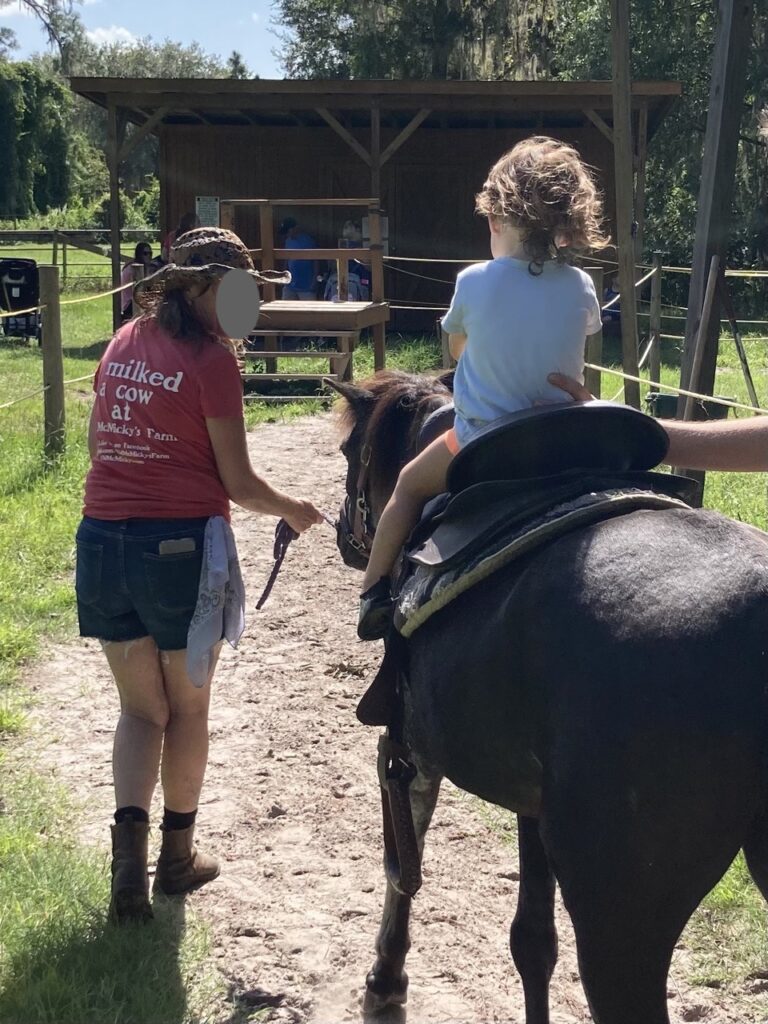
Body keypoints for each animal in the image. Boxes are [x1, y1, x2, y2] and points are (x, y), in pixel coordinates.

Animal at [331, 372, 768, 1024]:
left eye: (347, 450)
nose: (342, 532)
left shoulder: (411, 753)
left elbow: (400, 866)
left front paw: (384, 991)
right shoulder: (531, 802)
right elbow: (532, 940)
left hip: (618, 918)